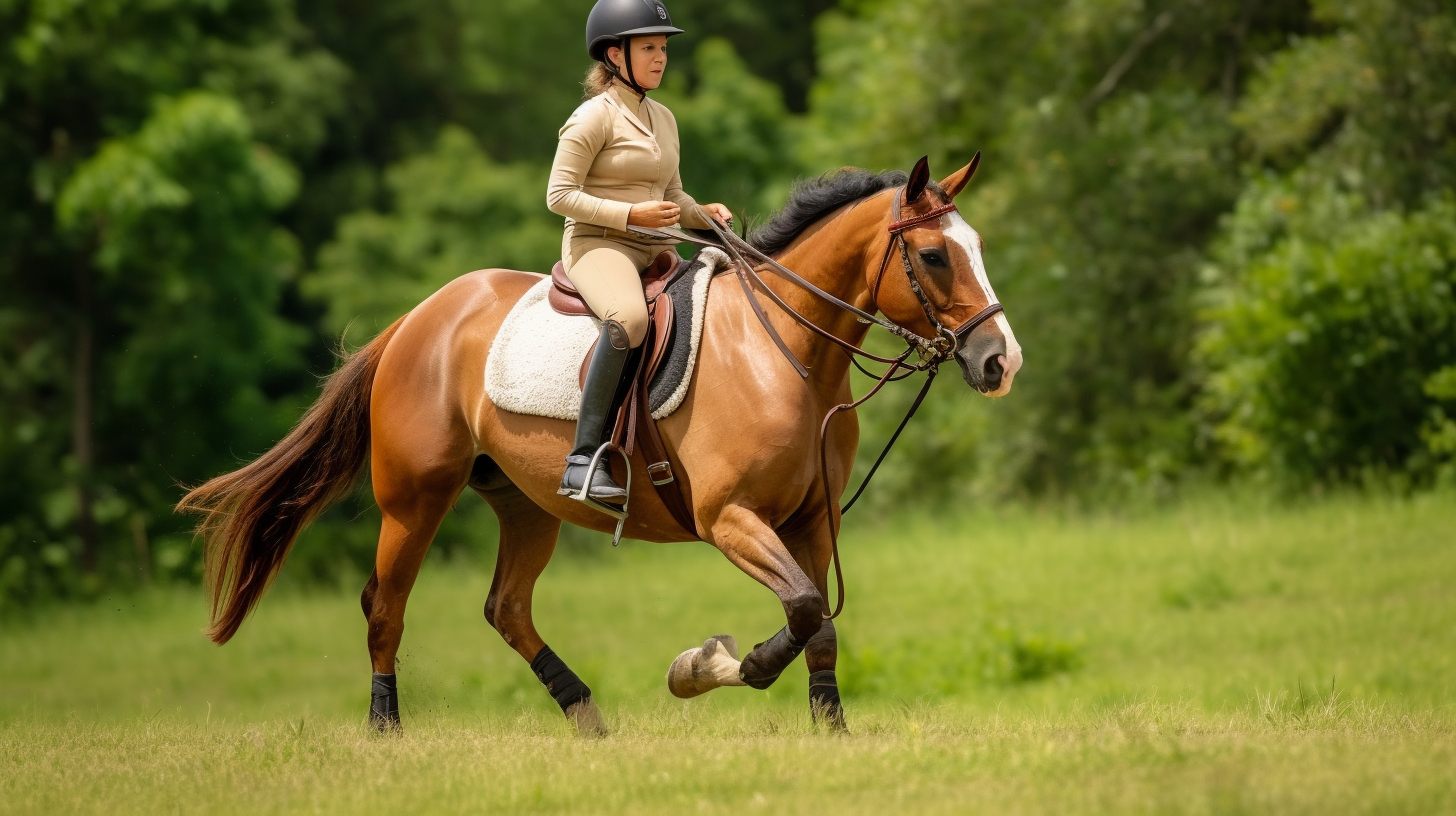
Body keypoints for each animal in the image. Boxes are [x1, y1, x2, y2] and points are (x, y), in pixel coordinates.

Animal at [176, 153, 1025, 734]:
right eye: (934, 255)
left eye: (978, 246)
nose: (1000, 362)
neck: (786, 352)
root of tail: (418, 317)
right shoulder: (730, 519)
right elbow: (804, 609)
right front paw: (705, 666)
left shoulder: (813, 519)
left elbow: (817, 624)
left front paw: (831, 728)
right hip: (415, 501)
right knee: (386, 605)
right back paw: (386, 726)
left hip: (524, 504)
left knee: (507, 608)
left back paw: (585, 714)